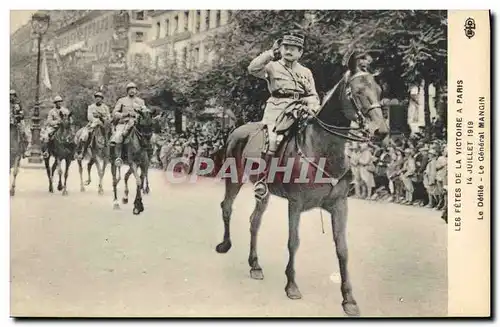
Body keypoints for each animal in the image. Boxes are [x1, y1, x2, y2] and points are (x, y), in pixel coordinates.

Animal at [214, 68, 386, 318]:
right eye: (357, 92)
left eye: (379, 90)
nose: (380, 130)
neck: (323, 149)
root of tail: (237, 129)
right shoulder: (295, 204)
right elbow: (293, 242)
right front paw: (292, 286)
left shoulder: (340, 205)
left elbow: (342, 249)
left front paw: (349, 299)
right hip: (234, 176)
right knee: (227, 207)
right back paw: (225, 244)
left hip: (264, 192)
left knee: (254, 221)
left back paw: (255, 265)